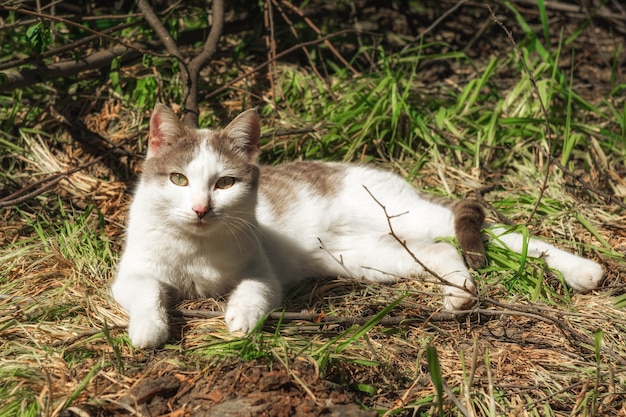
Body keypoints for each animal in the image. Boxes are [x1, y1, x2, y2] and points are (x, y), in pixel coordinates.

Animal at [109, 104, 604, 348]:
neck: (197, 246)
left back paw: (583, 270)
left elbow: (253, 290)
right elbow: (148, 293)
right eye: (178, 179)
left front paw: (241, 318)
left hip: (402, 217)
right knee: (442, 250)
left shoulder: (263, 271)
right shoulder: (132, 273)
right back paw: (459, 295)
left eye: (225, 183)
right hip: (370, 257)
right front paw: (148, 330)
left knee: (495, 230)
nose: (199, 208)